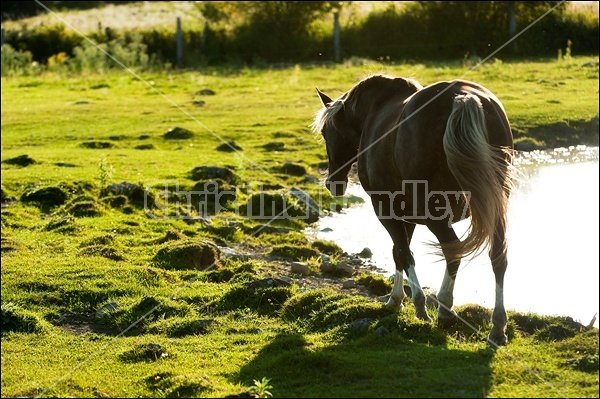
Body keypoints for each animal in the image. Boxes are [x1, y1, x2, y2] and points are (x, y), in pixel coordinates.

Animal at [310, 73, 516, 346]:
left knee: (452, 251)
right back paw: (498, 327)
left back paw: (444, 309)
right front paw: (395, 299)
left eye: (326, 132)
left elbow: (403, 252)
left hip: (436, 216)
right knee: (498, 256)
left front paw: (416, 304)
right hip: (493, 209)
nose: (333, 182)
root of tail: (463, 98)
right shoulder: (407, 215)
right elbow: (398, 252)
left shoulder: (385, 209)